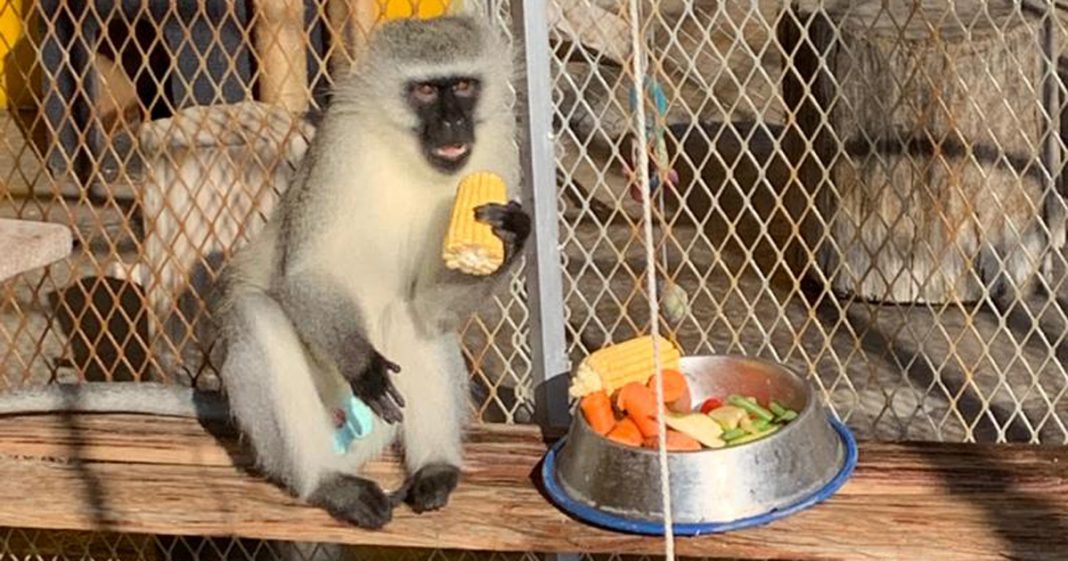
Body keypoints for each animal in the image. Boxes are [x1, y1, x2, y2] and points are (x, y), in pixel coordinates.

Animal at [0, 14, 528, 530]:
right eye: (425, 91)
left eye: (464, 86)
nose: (453, 122)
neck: (410, 158)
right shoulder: (340, 144)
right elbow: (305, 274)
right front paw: (364, 365)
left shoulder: (496, 149)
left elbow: (430, 307)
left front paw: (510, 236)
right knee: (260, 318)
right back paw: (326, 482)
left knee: (411, 318)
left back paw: (435, 469)